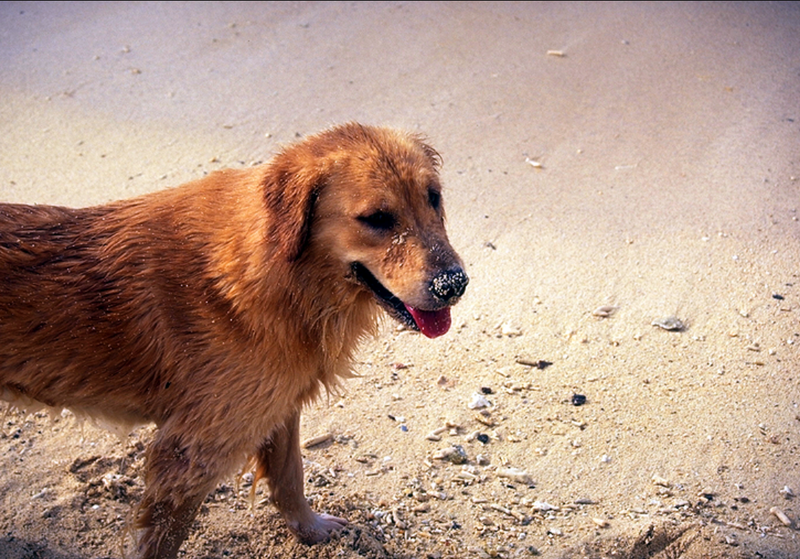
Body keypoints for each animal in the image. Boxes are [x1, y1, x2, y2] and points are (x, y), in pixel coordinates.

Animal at [0, 123, 468, 559]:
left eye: (434, 197)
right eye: (376, 218)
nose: (454, 284)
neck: (285, 276)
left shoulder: (275, 405)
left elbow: (289, 476)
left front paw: (311, 530)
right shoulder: (191, 454)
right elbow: (162, 539)